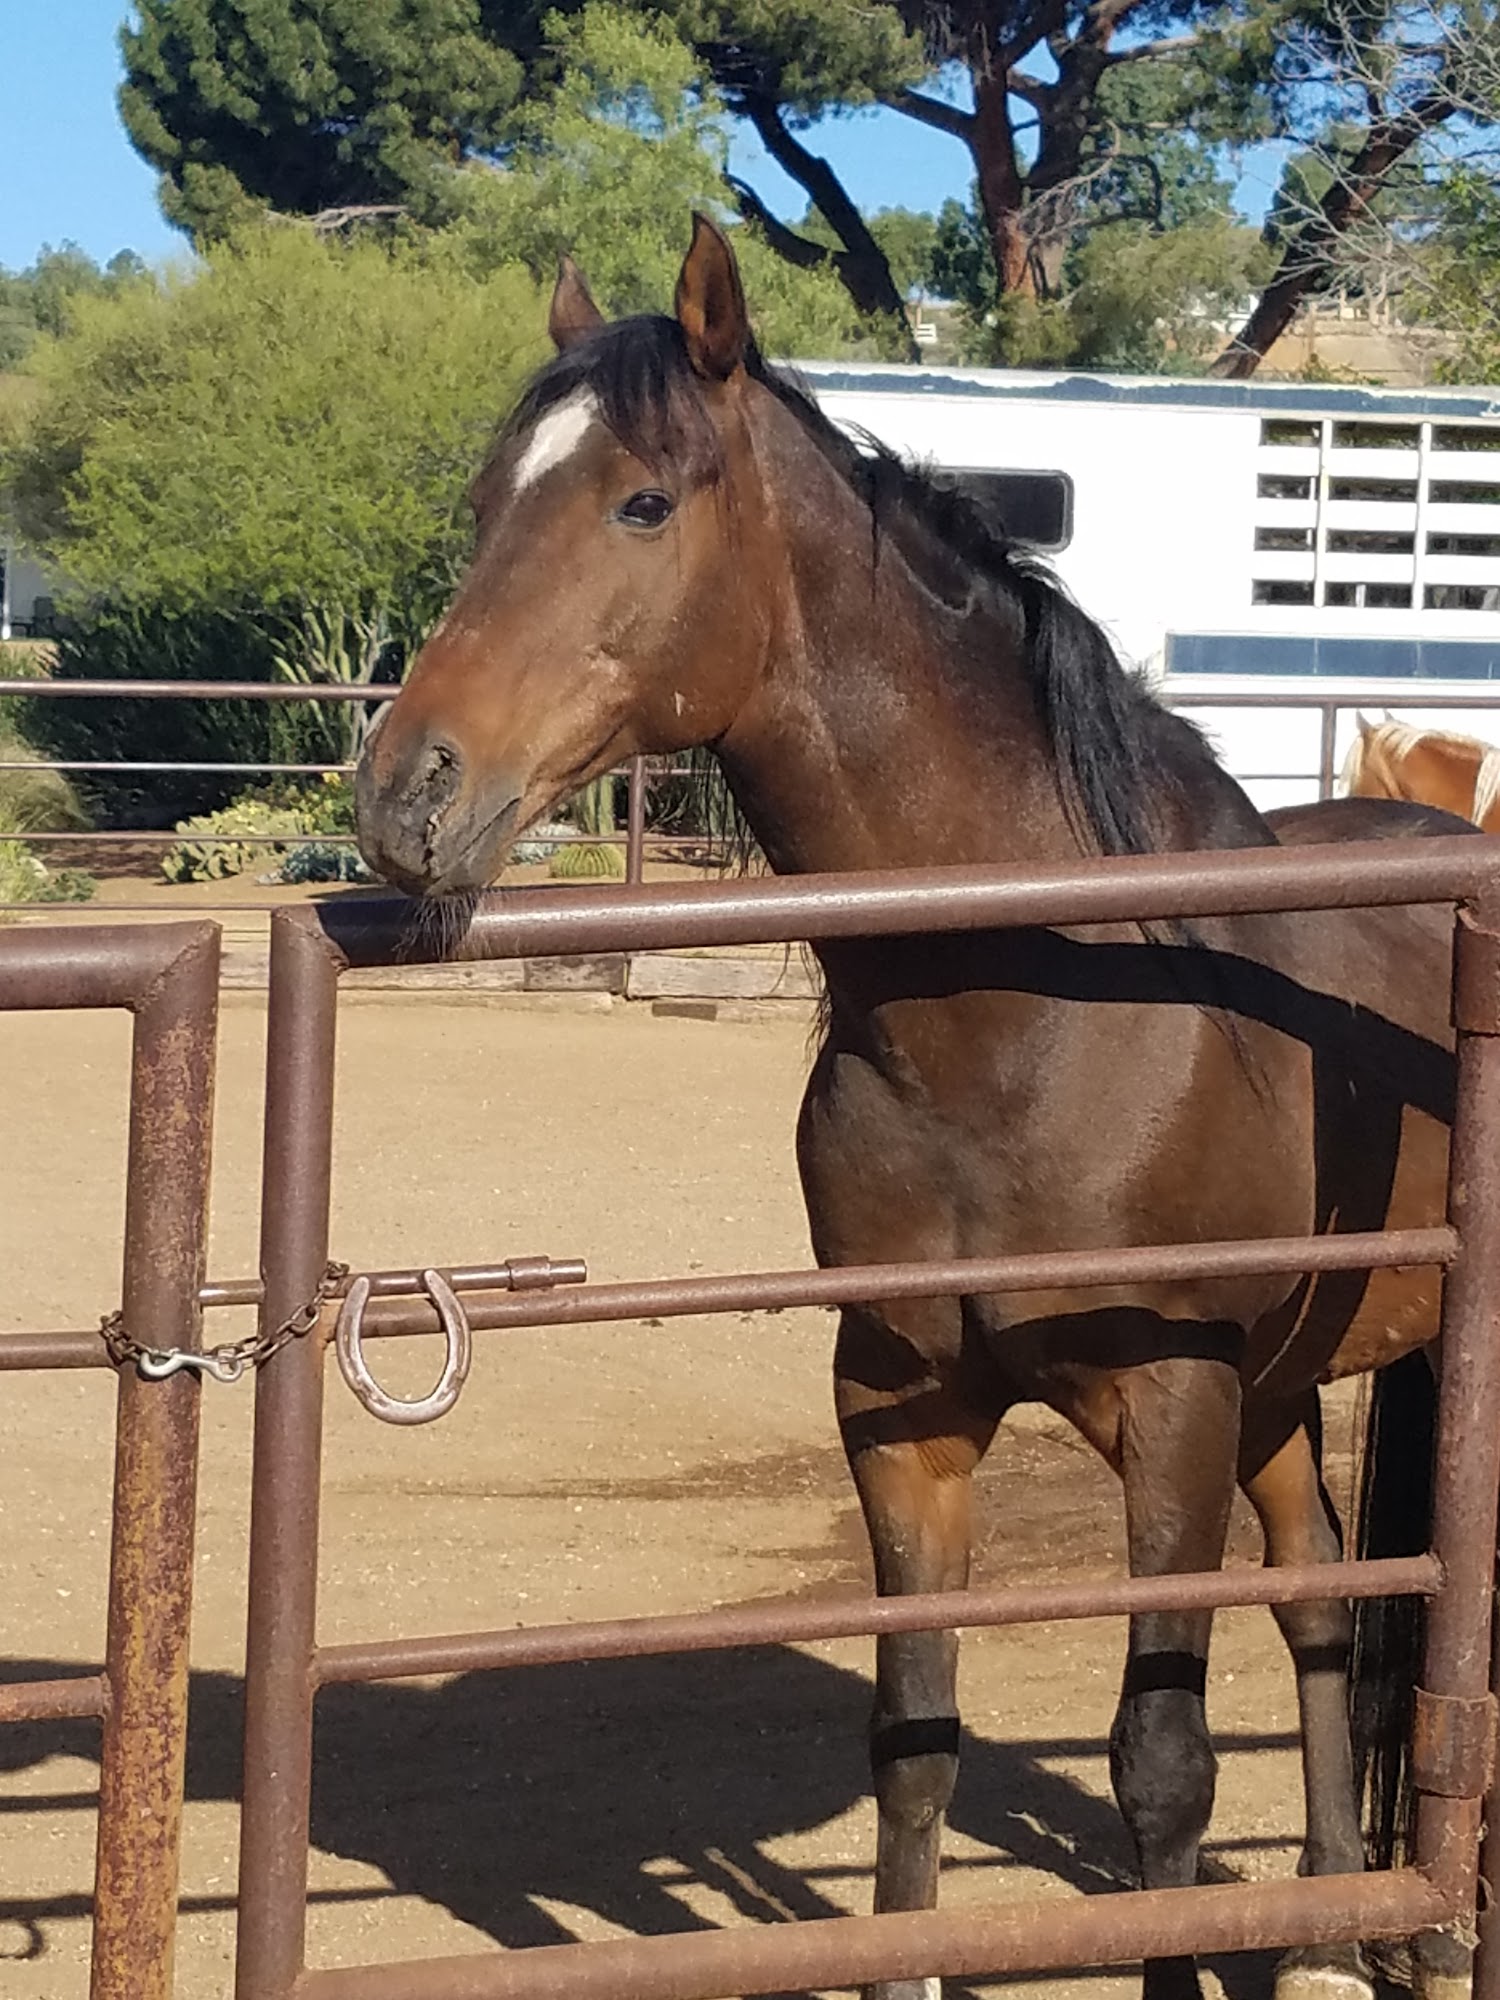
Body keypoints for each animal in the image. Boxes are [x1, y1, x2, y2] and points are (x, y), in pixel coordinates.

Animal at [358, 215, 1472, 2000]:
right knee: (1317, 1603)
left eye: (642, 503)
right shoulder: (903, 1410)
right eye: (482, 504)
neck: (1035, 1012)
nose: (406, 792)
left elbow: (1161, 1775)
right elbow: (917, 1746)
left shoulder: (1171, 1415)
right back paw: (1328, 1919)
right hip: (1289, 1386)